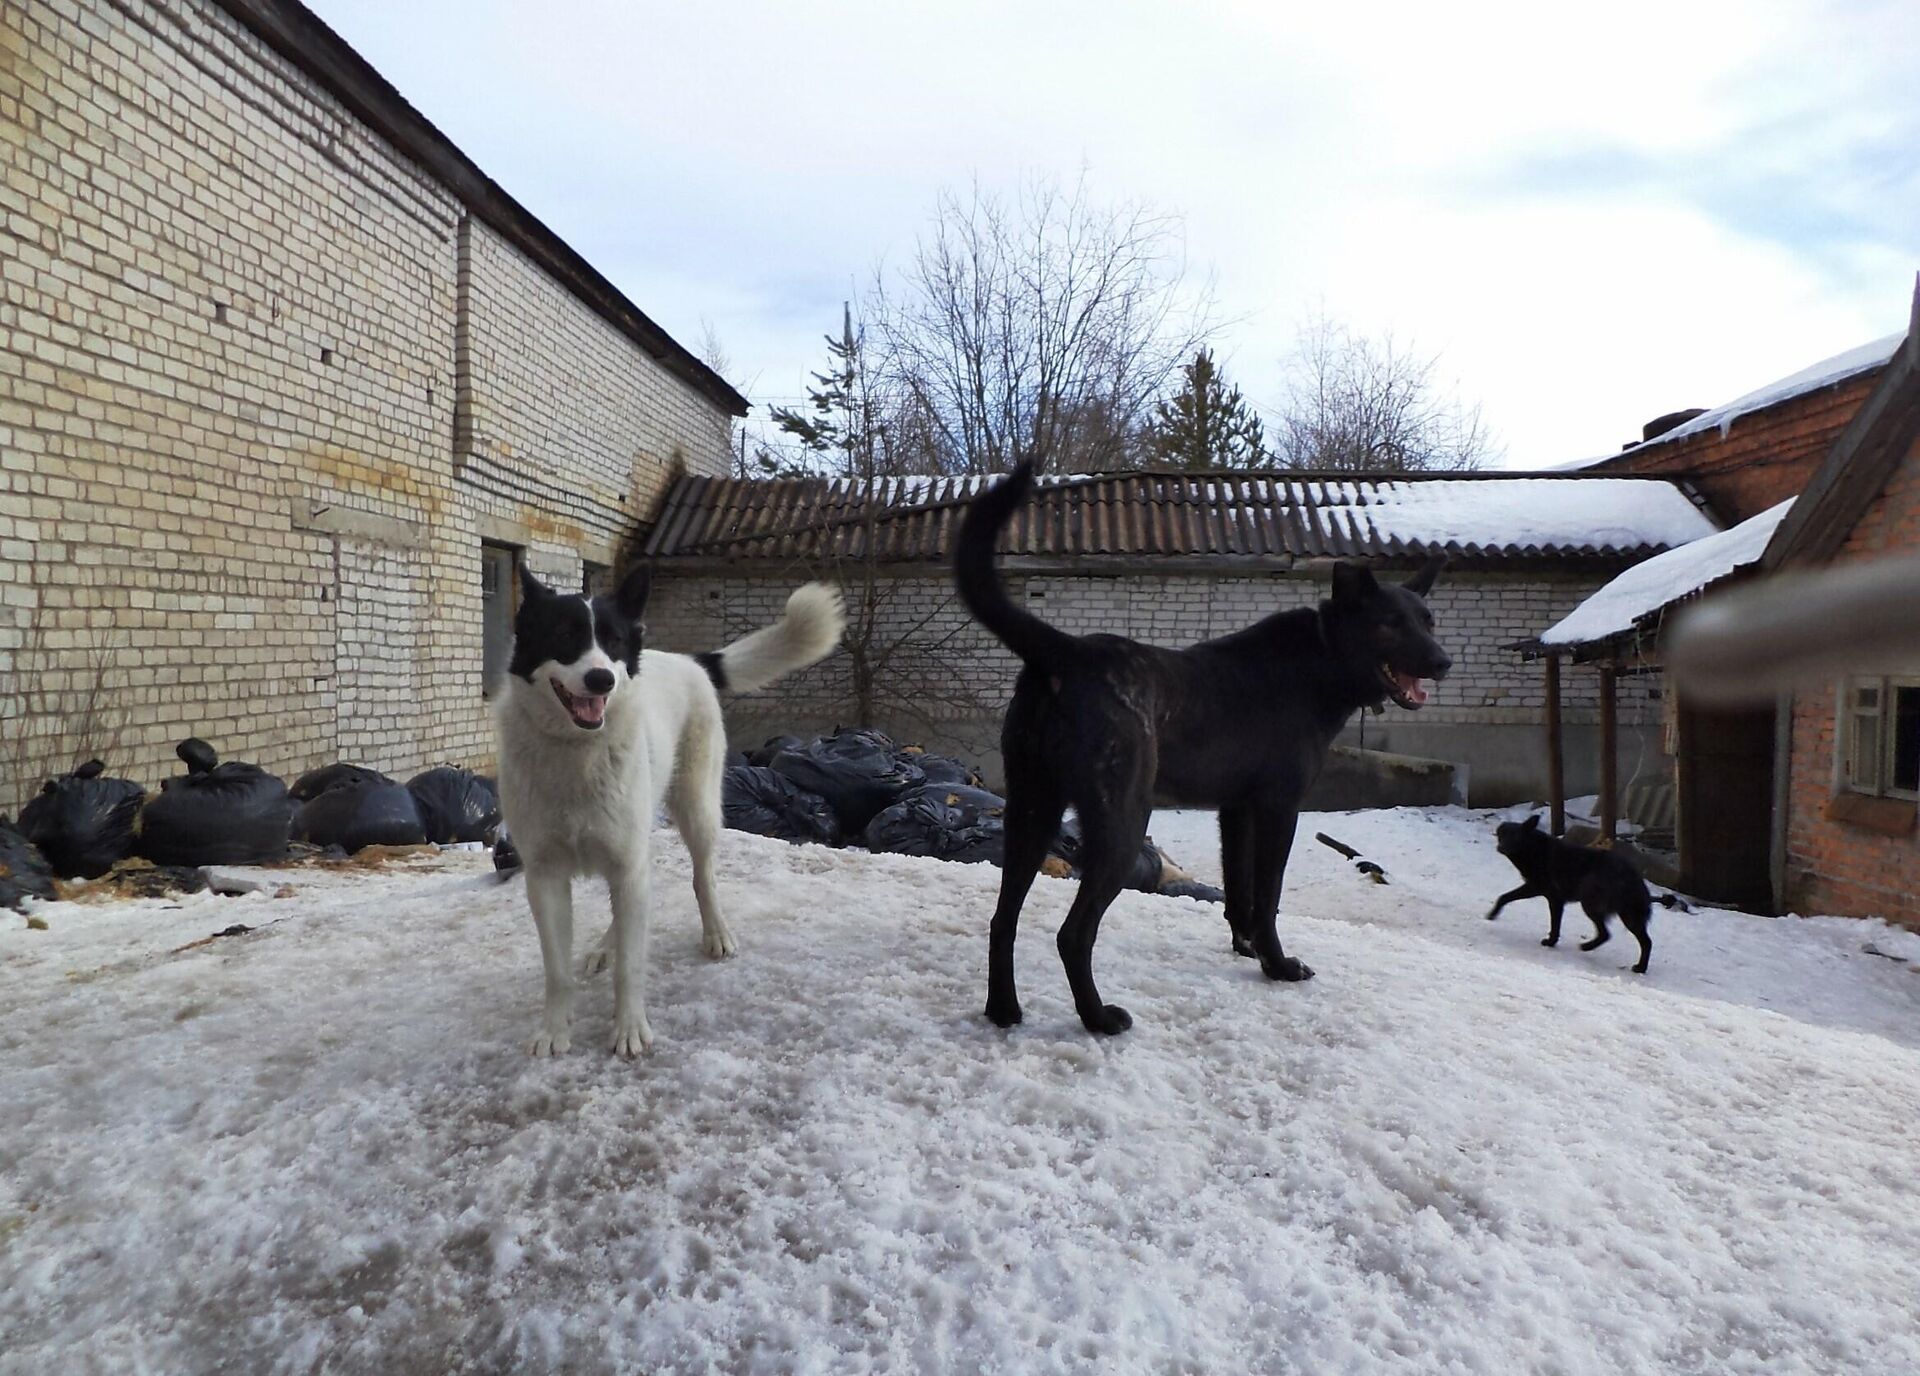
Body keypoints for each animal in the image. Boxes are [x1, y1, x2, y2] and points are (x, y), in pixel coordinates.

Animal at [499, 564, 844, 1059]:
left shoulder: (626, 862)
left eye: (614, 641)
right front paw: (553, 1030)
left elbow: (631, 965)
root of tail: (688, 661)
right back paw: (606, 946)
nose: (602, 680)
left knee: (703, 878)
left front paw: (628, 1028)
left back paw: (716, 933)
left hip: (697, 809)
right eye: (564, 635)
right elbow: (557, 970)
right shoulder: (545, 876)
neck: (576, 752)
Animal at [960, 462, 1451, 1028]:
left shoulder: (1235, 810)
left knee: (1002, 919)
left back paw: (1003, 1009)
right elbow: (1268, 895)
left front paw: (1248, 948)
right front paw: (1278, 966)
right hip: (1123, 822)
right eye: (1390, 624)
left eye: (1428, 621)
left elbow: (1239, 892)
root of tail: (1066, 652)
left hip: (1030, 812)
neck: (1322, 659)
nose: (1443, 662)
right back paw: (1099, 1018)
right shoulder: (1280, 807)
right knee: (1073, 934)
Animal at [1482, 817, 1651, 978]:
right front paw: (1552, 942)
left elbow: (1505, 897)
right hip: (1625, 914)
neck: (1534, 848)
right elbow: (1555, 925)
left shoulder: (1538, 889)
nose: (1500, 848)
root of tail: (1635, 878)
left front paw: (1492, 914)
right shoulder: (1555, 899)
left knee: (1616, 936)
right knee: (1631, 939)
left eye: (1515, 836)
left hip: (1592, 905)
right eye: (1502, 835)